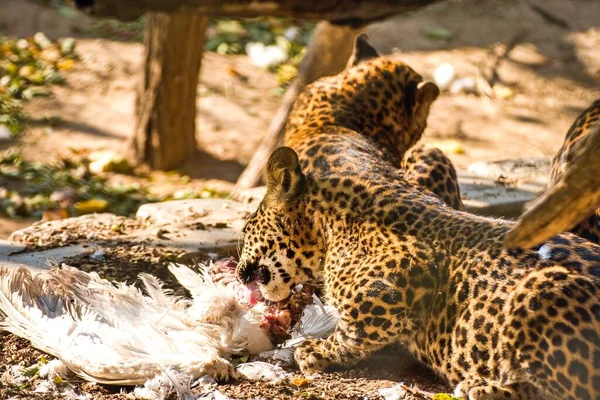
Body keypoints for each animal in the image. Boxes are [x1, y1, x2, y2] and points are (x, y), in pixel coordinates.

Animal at [237, 35, 596, 400]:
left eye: (248, 226)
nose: (237, 273)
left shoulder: (398, 278)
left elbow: (354, 330)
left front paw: (315, 351)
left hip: (544, 290)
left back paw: (482, 387)